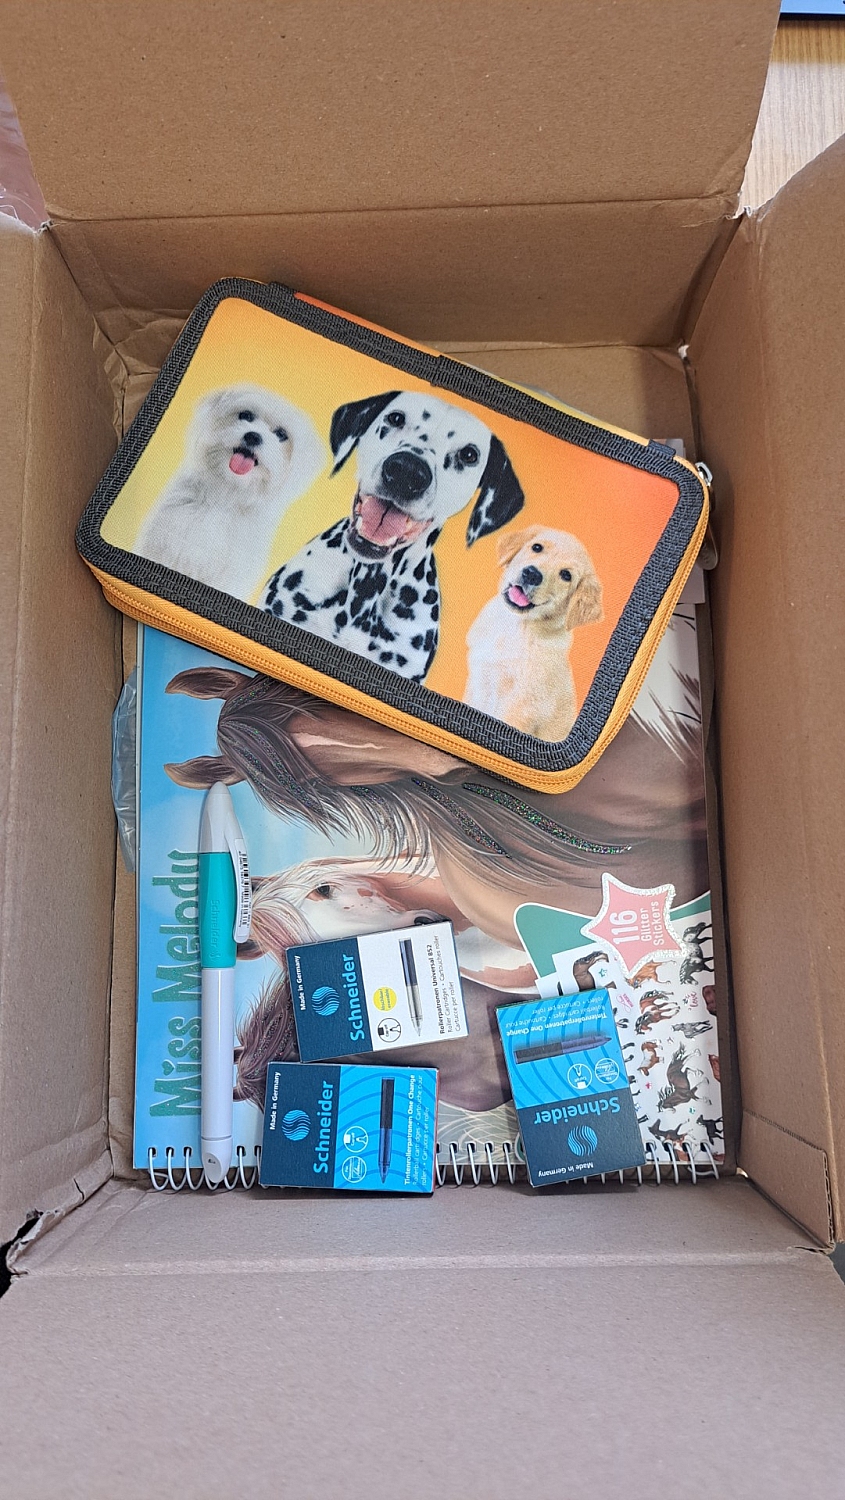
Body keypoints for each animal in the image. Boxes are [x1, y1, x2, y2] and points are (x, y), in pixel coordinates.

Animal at [464, 525, 603, 740]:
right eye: (537, 547)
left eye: (566, 575)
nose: (532, 574)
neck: (515, 626)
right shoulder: (476, 681)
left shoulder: (522, 705)